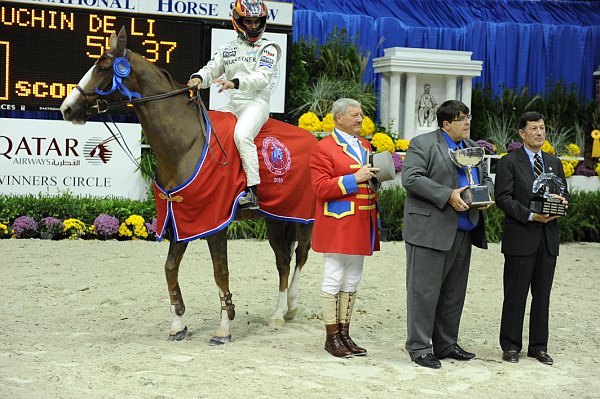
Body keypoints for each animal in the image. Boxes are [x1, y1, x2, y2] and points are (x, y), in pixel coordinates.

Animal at [59, 27, 314, 344]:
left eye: (104, 68)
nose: (67, 108)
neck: (186, 144)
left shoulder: (215, 223)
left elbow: (220, 273)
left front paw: (223, 328)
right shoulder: (180, 216)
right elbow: (170, 268)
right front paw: (178, 323)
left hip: (300, 216)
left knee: (298, 256)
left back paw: (287, 308)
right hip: (275, 219)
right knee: (283, 260)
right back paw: (280, 313)